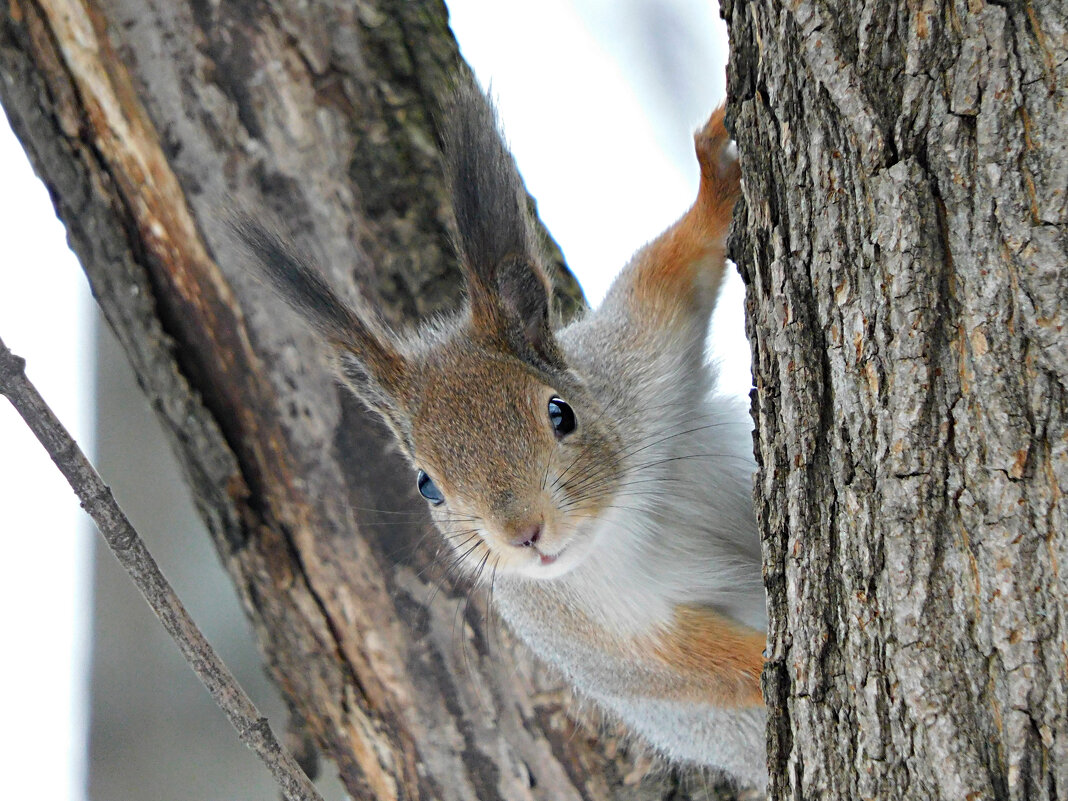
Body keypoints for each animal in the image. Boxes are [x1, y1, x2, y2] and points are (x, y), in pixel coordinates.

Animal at [233, 86, 768, 790]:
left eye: (561, 413)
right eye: (426, 485)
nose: (524, 535)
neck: (616, 527)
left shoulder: (636, 369)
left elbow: (672, 273)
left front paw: (716, 172)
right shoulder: (591, 632)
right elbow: (684, 664)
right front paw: (769, 657)